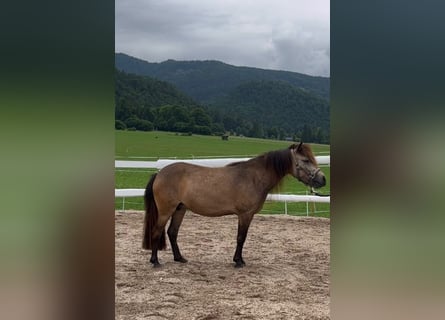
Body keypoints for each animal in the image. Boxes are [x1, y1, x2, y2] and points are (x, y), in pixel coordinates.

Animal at [144, 142, 324, 268]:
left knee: (172, 232)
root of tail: (159, 173)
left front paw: (239, 260)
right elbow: (241, 238)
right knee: (157, 231)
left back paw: (179, 258)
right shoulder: (245, 215)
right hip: (166, 211)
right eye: (306, 160)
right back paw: (155, 261)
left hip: (180, 209)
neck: (254, 177)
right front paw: (238, 261)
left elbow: (241, 238)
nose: (322, 179)